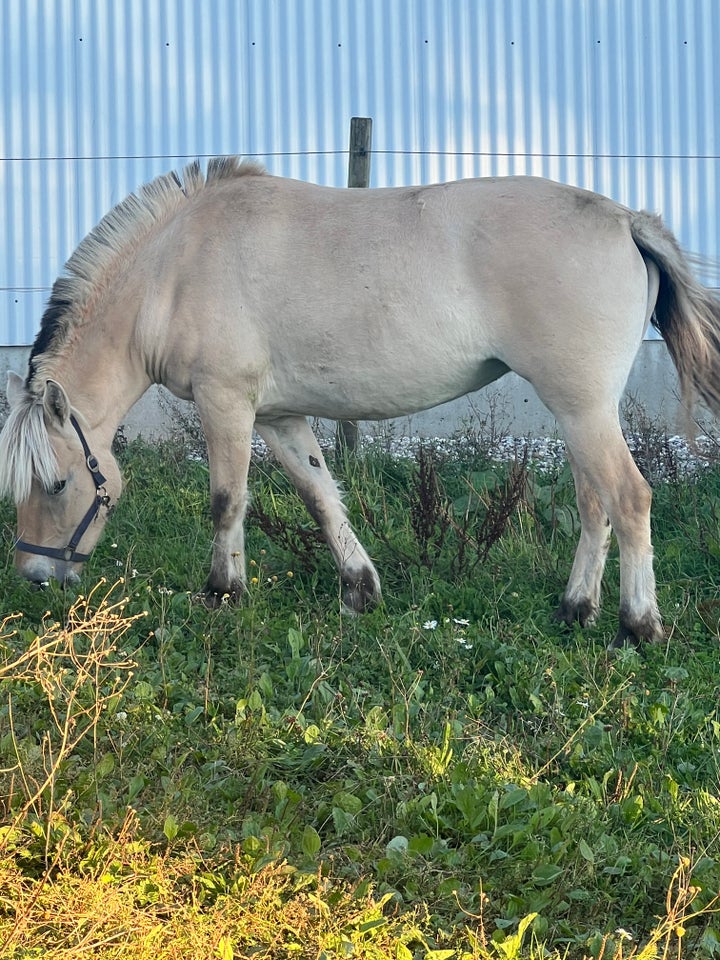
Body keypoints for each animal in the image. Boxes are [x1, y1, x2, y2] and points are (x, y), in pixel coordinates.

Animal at [1, 159, 720, 644]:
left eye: (57, 483)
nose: (35, 576)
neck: (175, 267)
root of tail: (627, 222)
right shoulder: (278, 416)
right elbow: (321, 495)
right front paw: (359, 590)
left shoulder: (225, 401)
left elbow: (227, 499)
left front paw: (222, 593)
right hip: (576, 414)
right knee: (595, 504)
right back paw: (575, 609)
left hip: (584, 411)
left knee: (629, 498)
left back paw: (637, 625)